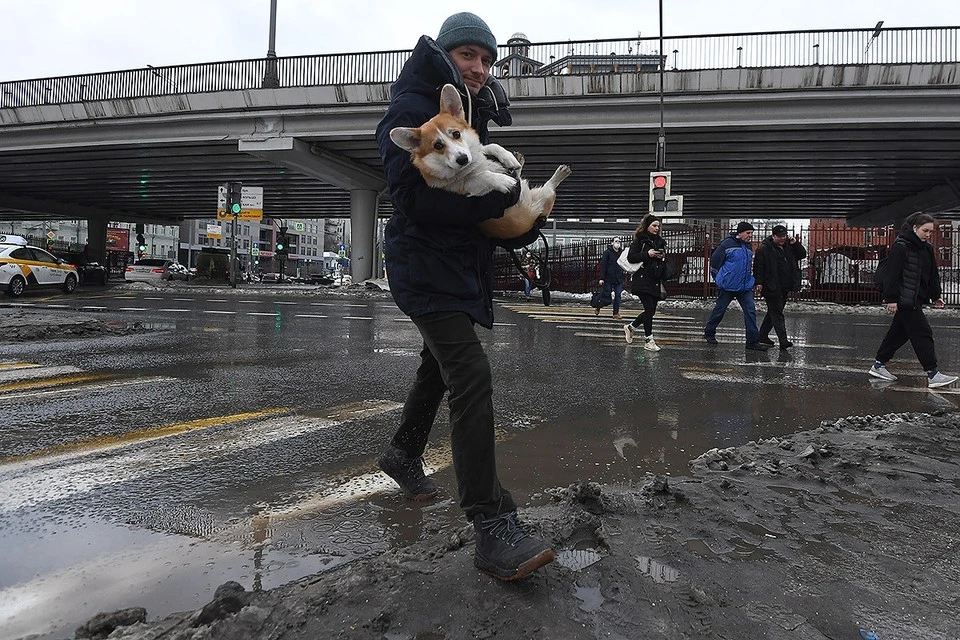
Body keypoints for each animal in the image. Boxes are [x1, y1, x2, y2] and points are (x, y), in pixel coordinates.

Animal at [390, 82, 568, 238]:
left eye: (456, 134)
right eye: (438, 145)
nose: (462, 159)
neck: (472, 165)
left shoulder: (478, 150)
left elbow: (490, 146)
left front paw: (508, 157)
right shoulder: (470, 192)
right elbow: (482, 176)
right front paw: (502, 180)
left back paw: (520, 161)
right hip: (544, 196)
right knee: (549, 187)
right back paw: (560, 173)